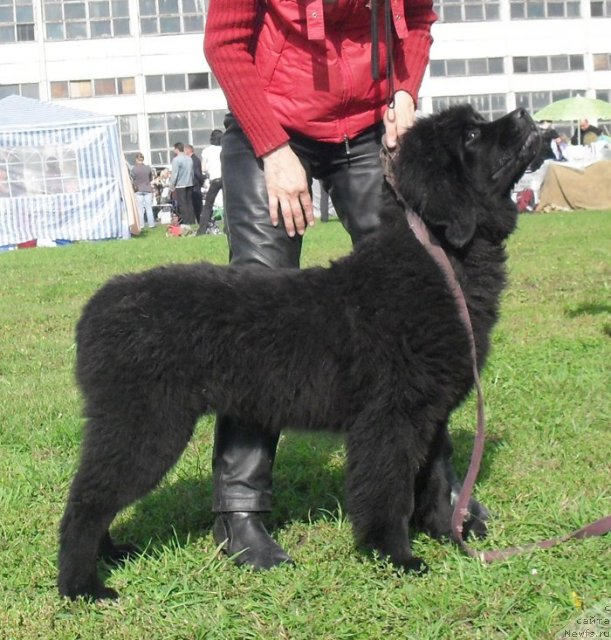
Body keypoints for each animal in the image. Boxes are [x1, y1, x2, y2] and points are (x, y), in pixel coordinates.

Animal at [57, 105, 540, 600]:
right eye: (472, 135)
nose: (525, 113)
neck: (439, 262)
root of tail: (97, 307)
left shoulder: (430, 411)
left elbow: (437, 476)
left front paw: (448, 532)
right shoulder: (389, 417)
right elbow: (388, 489)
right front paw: (395, 555)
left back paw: (112, 554)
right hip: (145, 424)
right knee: (86, 500)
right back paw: (83, 586)